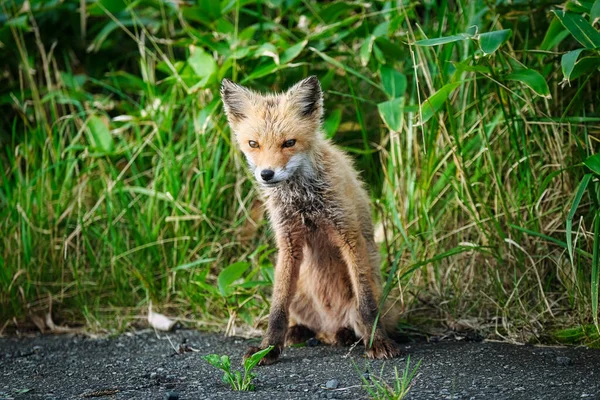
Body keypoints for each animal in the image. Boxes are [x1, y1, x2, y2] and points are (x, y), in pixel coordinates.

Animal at [221, 76, 404, 366]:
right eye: (253, 144)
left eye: (289, 143)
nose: (266, 174)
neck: (302, 199)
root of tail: (327, 328)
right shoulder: (288, 243)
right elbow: (277, 310)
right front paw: (268, 348)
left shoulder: (349, 235)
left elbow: (366, 304)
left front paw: (378, 343)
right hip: (297, 290)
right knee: (298, 318)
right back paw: (299, 332)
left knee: (357, 319)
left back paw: (349, 335)